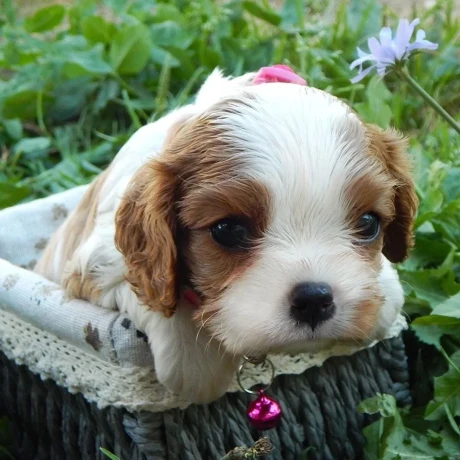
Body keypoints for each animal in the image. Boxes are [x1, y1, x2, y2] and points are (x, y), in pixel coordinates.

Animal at [36, 68, 416, 402]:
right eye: (229, 230)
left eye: (368, 223)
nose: (314, 299)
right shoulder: (94, 269)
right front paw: (197, 362)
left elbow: (389, 297)